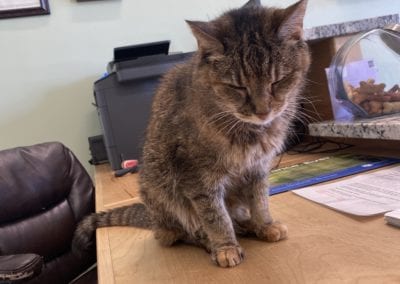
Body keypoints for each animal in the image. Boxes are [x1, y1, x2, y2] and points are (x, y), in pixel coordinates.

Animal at [72, 0, 310, 268]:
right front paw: (225, 246)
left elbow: (260, 201)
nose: (263, 111)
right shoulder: (197, 176)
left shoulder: (258, 169)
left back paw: (247, 225)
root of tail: (155, 220)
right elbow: (215, 216)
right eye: (237, 87)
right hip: (163, 192)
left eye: (278, 81)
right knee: (181, 232)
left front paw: (264, 224)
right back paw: (209, 241)